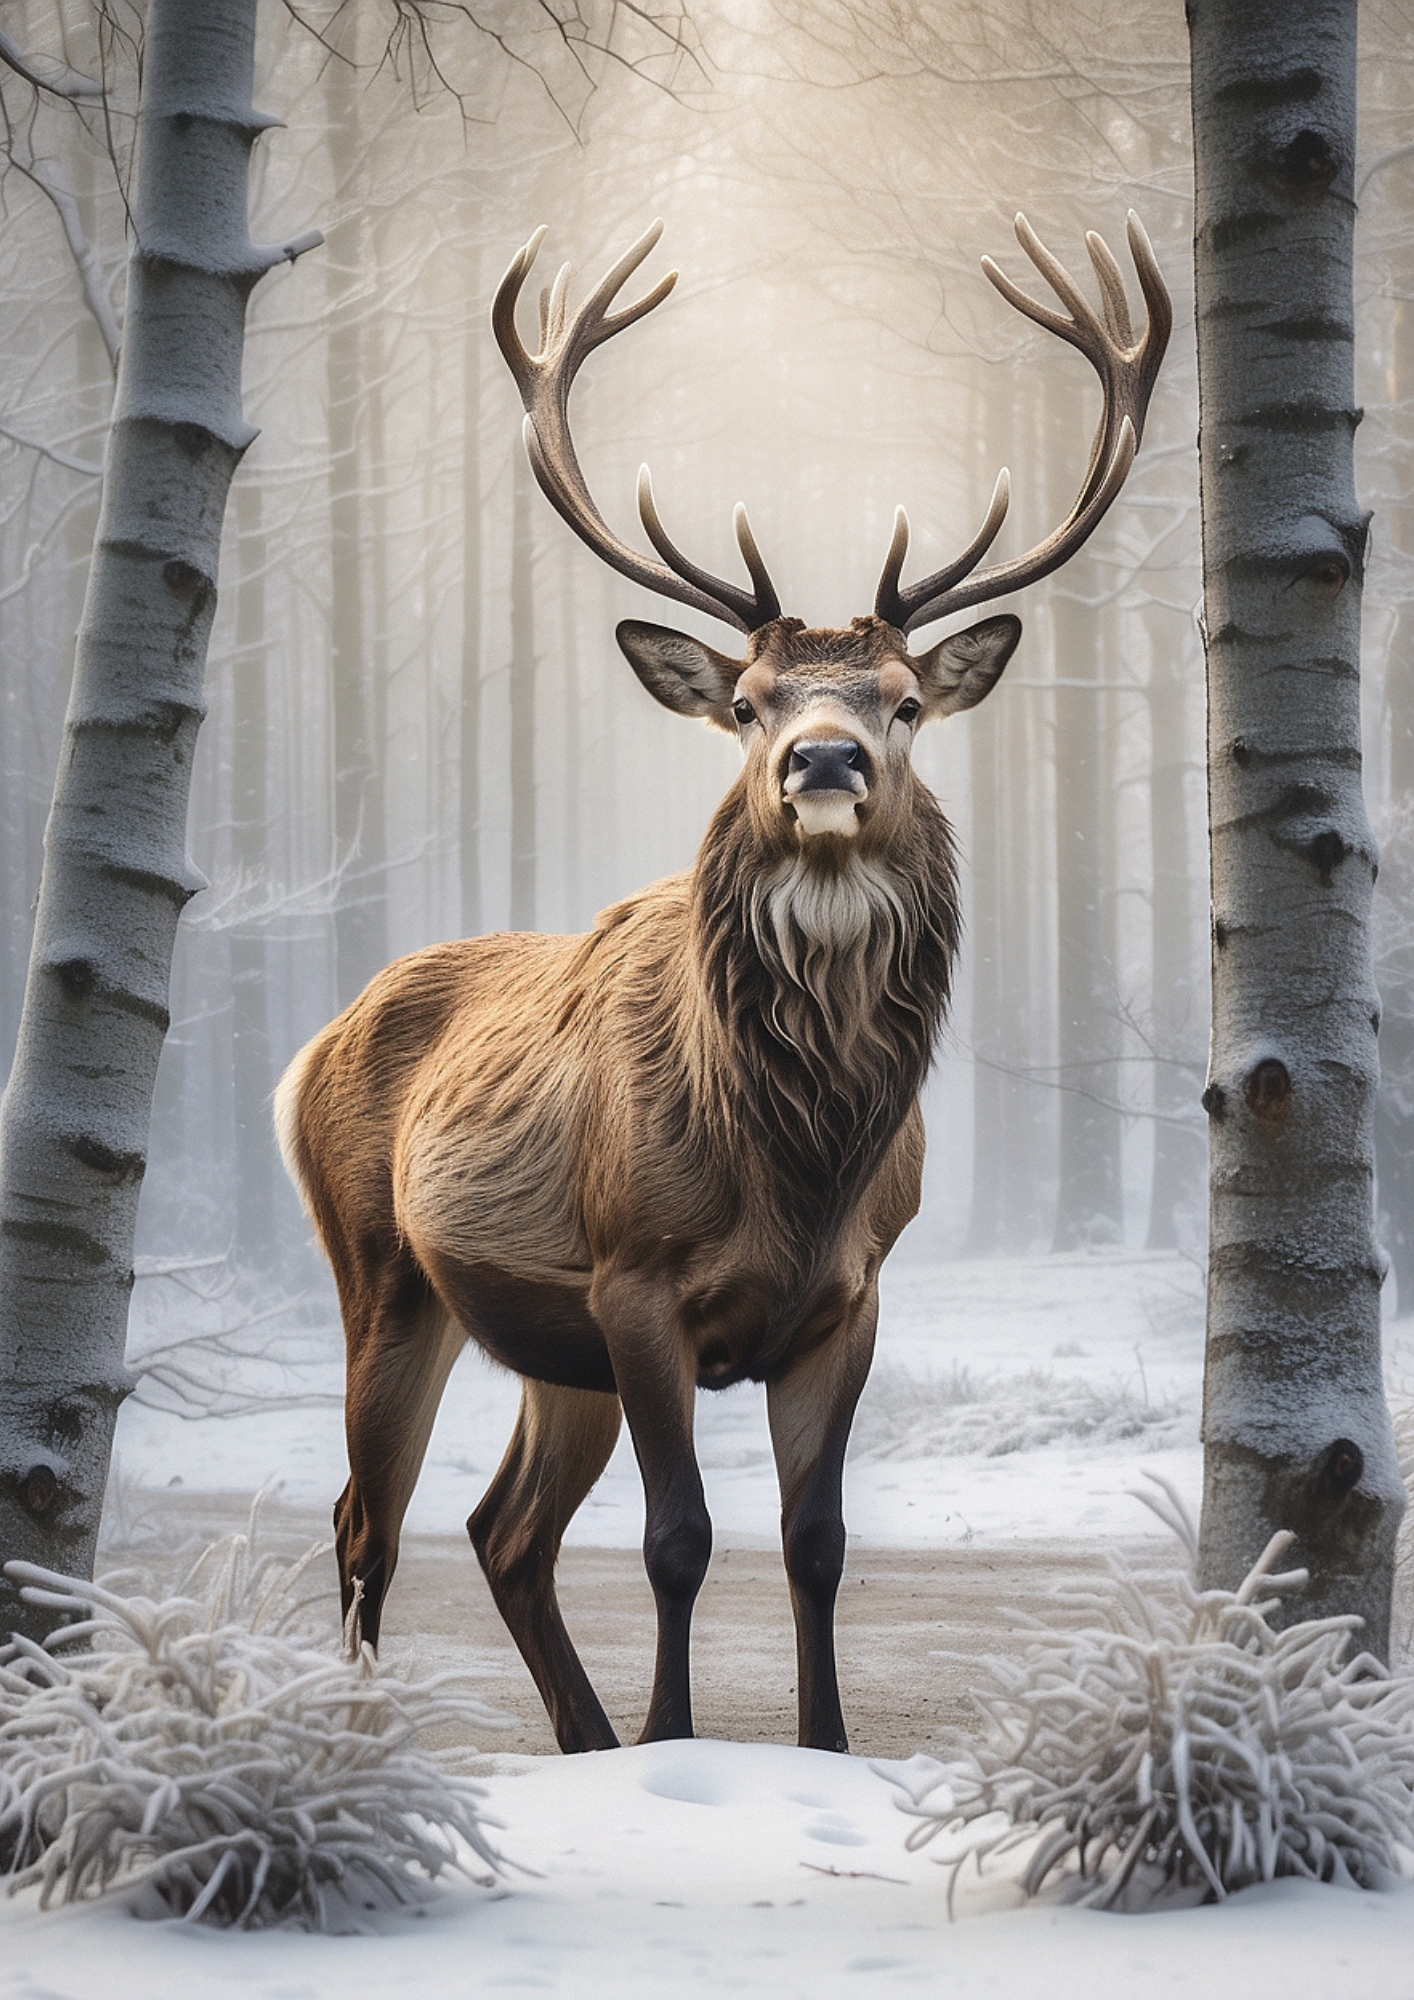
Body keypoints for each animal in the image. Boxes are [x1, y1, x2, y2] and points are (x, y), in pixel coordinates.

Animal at [276, 213, 1169, 1756]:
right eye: (747, 703)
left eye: (906, 702)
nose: (824, 760)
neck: (794, 1161)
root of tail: (311, 1046)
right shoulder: (636, 1277)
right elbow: (678, 1538)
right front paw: (674, 1745)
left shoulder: (851, 1295)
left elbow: (815, 1543)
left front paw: (818, 1747)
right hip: (383, 1269)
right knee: (363, 1522)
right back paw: (374, 1741)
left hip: (543, 1339)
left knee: (501, 1530)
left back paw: (577, 1740)